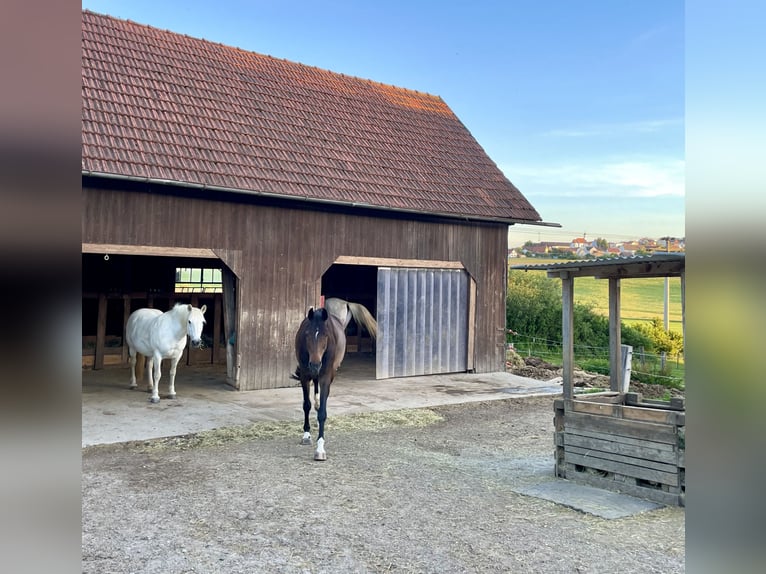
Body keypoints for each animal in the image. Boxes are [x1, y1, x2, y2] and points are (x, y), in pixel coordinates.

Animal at [293, 306, 347, 461]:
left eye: (326, 336)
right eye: (307, 334)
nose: (315, 364)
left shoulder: (325, 377)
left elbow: (323, 412)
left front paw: (320, 449)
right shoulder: (305, 375)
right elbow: (306, 405)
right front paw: (306, 436)